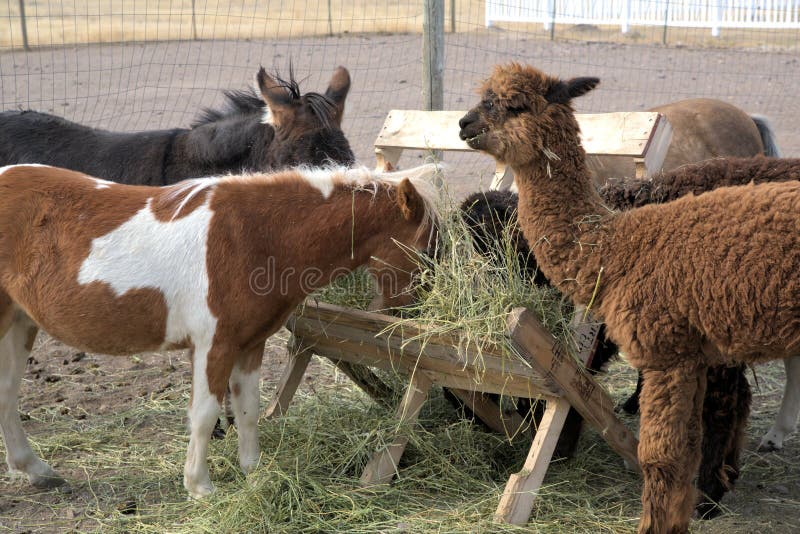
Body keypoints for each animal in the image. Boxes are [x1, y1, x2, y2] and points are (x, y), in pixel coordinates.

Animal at [0, 163, 439, 498]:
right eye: (428, 247)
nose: (424, 311)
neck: (257, 235)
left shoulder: (250, 345)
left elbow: (247, 410)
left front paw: (255, 473)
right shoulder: (214, 345)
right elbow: (206, 413)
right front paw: (200, 487)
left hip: (19, 324)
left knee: (6, 395)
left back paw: (36, 470)